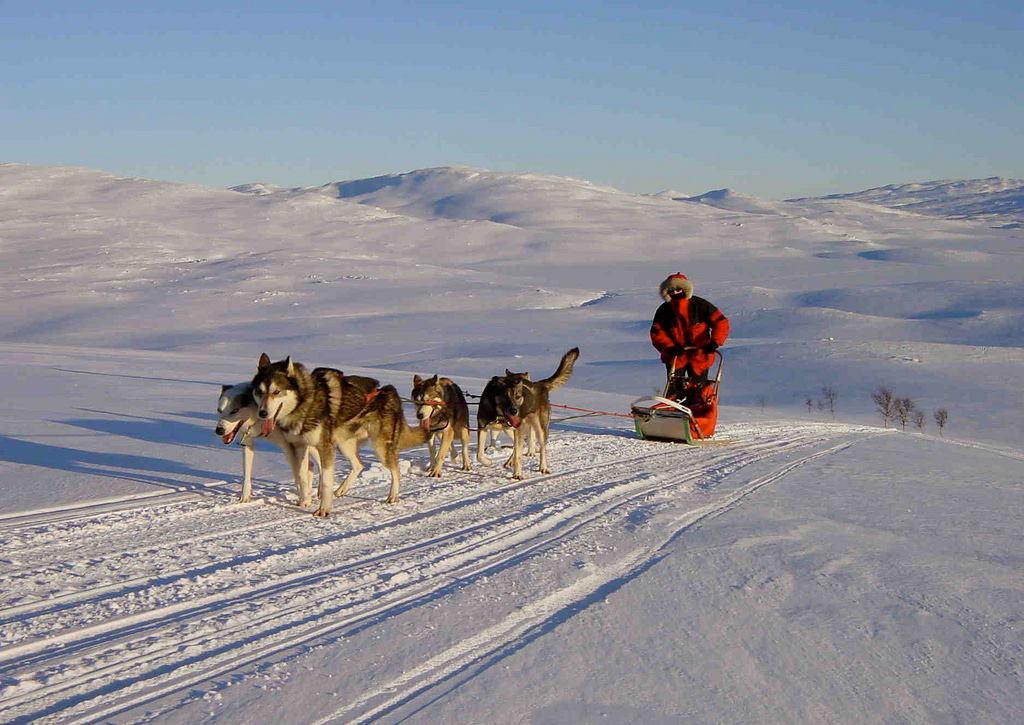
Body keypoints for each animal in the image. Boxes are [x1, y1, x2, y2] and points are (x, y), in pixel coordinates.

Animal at [251, 356, 428, 516]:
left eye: (276, 392)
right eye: (259, 391)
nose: (262, 413)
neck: (306, 403)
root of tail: (390, 392)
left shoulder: (325, 448)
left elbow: (325, 481)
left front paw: (324, 509)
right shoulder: (300, 446)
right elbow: (302, 476)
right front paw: (305, 501)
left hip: (380, 447)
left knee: (395, 470)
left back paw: (392, 496)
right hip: (344, 445)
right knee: (359, 465)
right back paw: (342, 489)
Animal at [477, 348, 577, 479]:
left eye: (518, 396)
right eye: (505, 396)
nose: (515, 411)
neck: (499, 415)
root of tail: (540, 384)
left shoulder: (517, 429)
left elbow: (518, 454)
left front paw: (517, 474)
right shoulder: (483, 427)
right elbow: (479, 454)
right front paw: (488, 461)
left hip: (539, 429)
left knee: (541, 448)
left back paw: (543, 467)